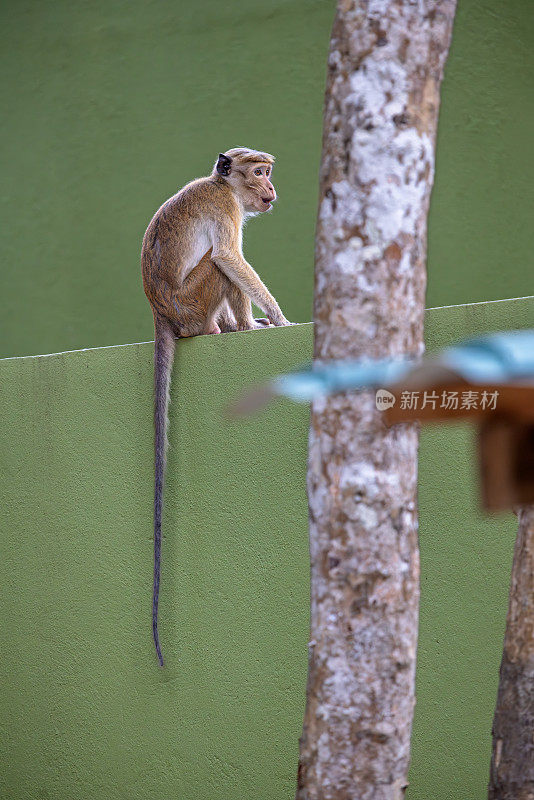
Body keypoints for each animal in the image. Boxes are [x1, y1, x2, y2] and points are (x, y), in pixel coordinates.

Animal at [141, 147, 294, 664]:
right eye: (260, 171)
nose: (271, 189)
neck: (222, 184)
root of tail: (162, 315)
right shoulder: (226, 209)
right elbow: (229, 257)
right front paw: (278, 319)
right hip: (193, 304)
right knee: (218, 263)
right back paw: (238, 327)